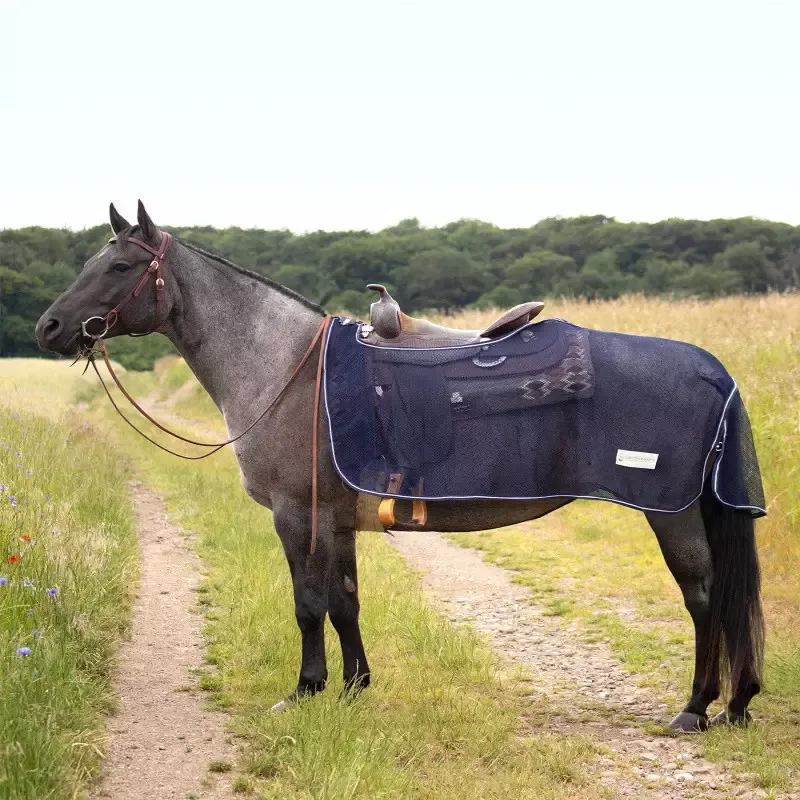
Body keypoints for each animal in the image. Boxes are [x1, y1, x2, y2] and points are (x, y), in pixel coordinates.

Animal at [35, 201, 764, 731]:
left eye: (119, 265)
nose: (49, 328)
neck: (288, 366)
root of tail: (710, 368)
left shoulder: (298, 514)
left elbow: (308, 605)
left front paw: (305, 691)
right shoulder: (336, 519)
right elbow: (345, 602)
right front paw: (355, 688)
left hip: (670, 513)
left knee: (703, 598)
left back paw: (696, 709)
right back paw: (735, 703)